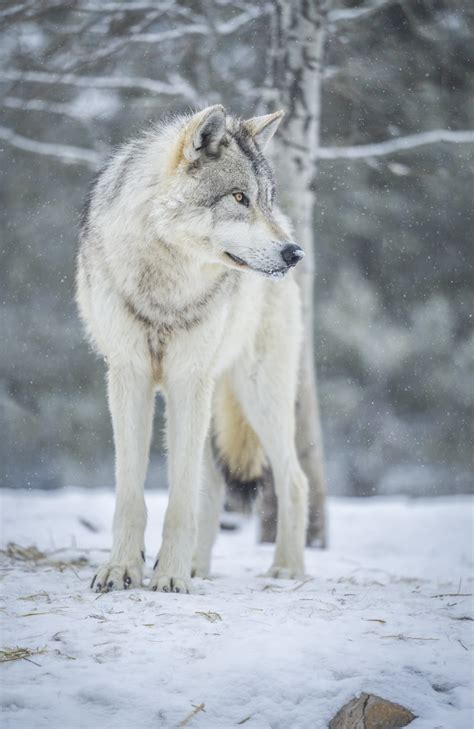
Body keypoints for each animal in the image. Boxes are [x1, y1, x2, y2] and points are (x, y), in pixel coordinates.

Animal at [77, 106, 308, 592]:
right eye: (239, 197)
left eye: (265, 199)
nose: (294, 253)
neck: (164, 286)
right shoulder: (130, 375)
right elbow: (131, 494)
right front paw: (122, 569)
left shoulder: (186, 379)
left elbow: (180, 500)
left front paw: (169, 576)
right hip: (212, 398)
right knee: (214, 486)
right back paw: (199, 565)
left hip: (257, 396)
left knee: (293, 480)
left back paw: (286, 568)